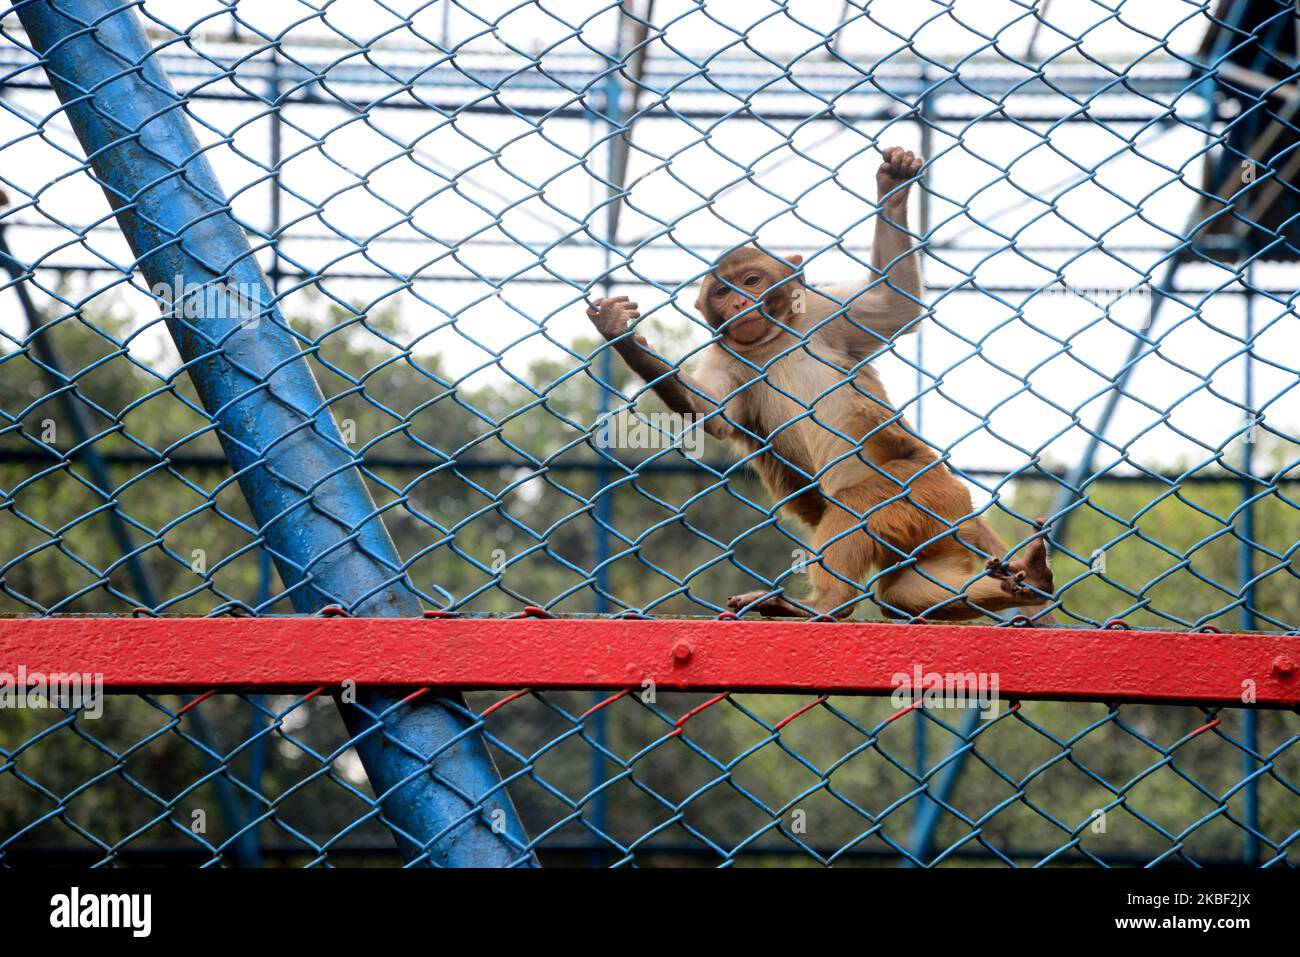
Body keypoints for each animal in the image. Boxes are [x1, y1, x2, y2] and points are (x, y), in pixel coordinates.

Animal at [590, 147, 1055, 621]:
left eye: (751, 280)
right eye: (723, 291)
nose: (740, 302)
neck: (772, 340)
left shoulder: (824, 312)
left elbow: (896, 303)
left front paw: (892, 191)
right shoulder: (726, 357)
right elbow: (713, 414)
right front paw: (621, 334)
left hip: (924, 486)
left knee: (856, 507)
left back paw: (827, 602)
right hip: (930, 524)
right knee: (903, 592)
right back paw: (1030, 583)